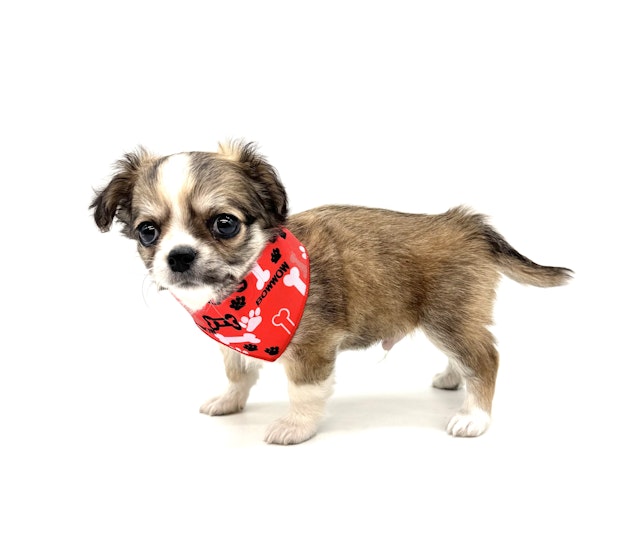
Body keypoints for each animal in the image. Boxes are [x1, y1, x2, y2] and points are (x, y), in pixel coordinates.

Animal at [90, 140, 572, 445]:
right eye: (148, 232)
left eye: (224, 224)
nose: (179, 257)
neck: (244, 293)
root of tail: (468, 223)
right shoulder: (234, 342)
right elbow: (237, 372)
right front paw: (229, 402)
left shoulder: (311, 347)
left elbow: (304, 391)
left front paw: (295, 428)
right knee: (467, 357)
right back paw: (453, 379)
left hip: (449, 317)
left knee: (484, 358)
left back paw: (474, 416)